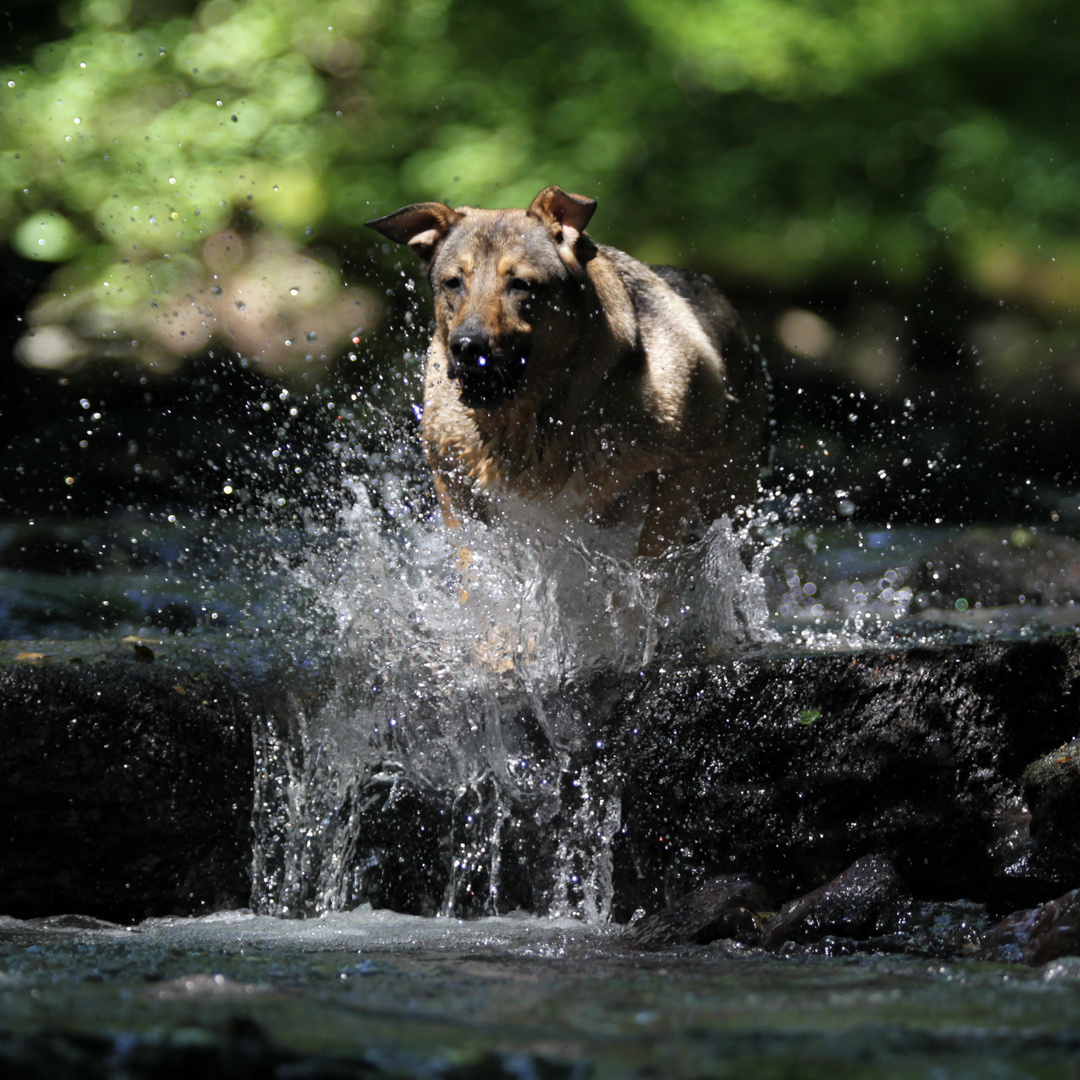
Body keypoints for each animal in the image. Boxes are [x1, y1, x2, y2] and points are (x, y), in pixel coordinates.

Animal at [369, 185, 768, 557]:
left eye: (521, 284)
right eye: (453, 282)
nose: (467, 346)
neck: (531, 416)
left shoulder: (684, 465)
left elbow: (653, 558)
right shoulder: (450, 475)